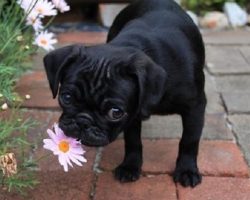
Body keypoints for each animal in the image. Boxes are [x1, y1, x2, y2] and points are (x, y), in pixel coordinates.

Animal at [44, 0, 206, 188]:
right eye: (66, 97)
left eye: (115, 112)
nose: (83, 121)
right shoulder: (132, 116)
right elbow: (133, 140)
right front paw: (130, 166)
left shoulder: (195, 107)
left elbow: (189, 140)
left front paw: (187, 170)